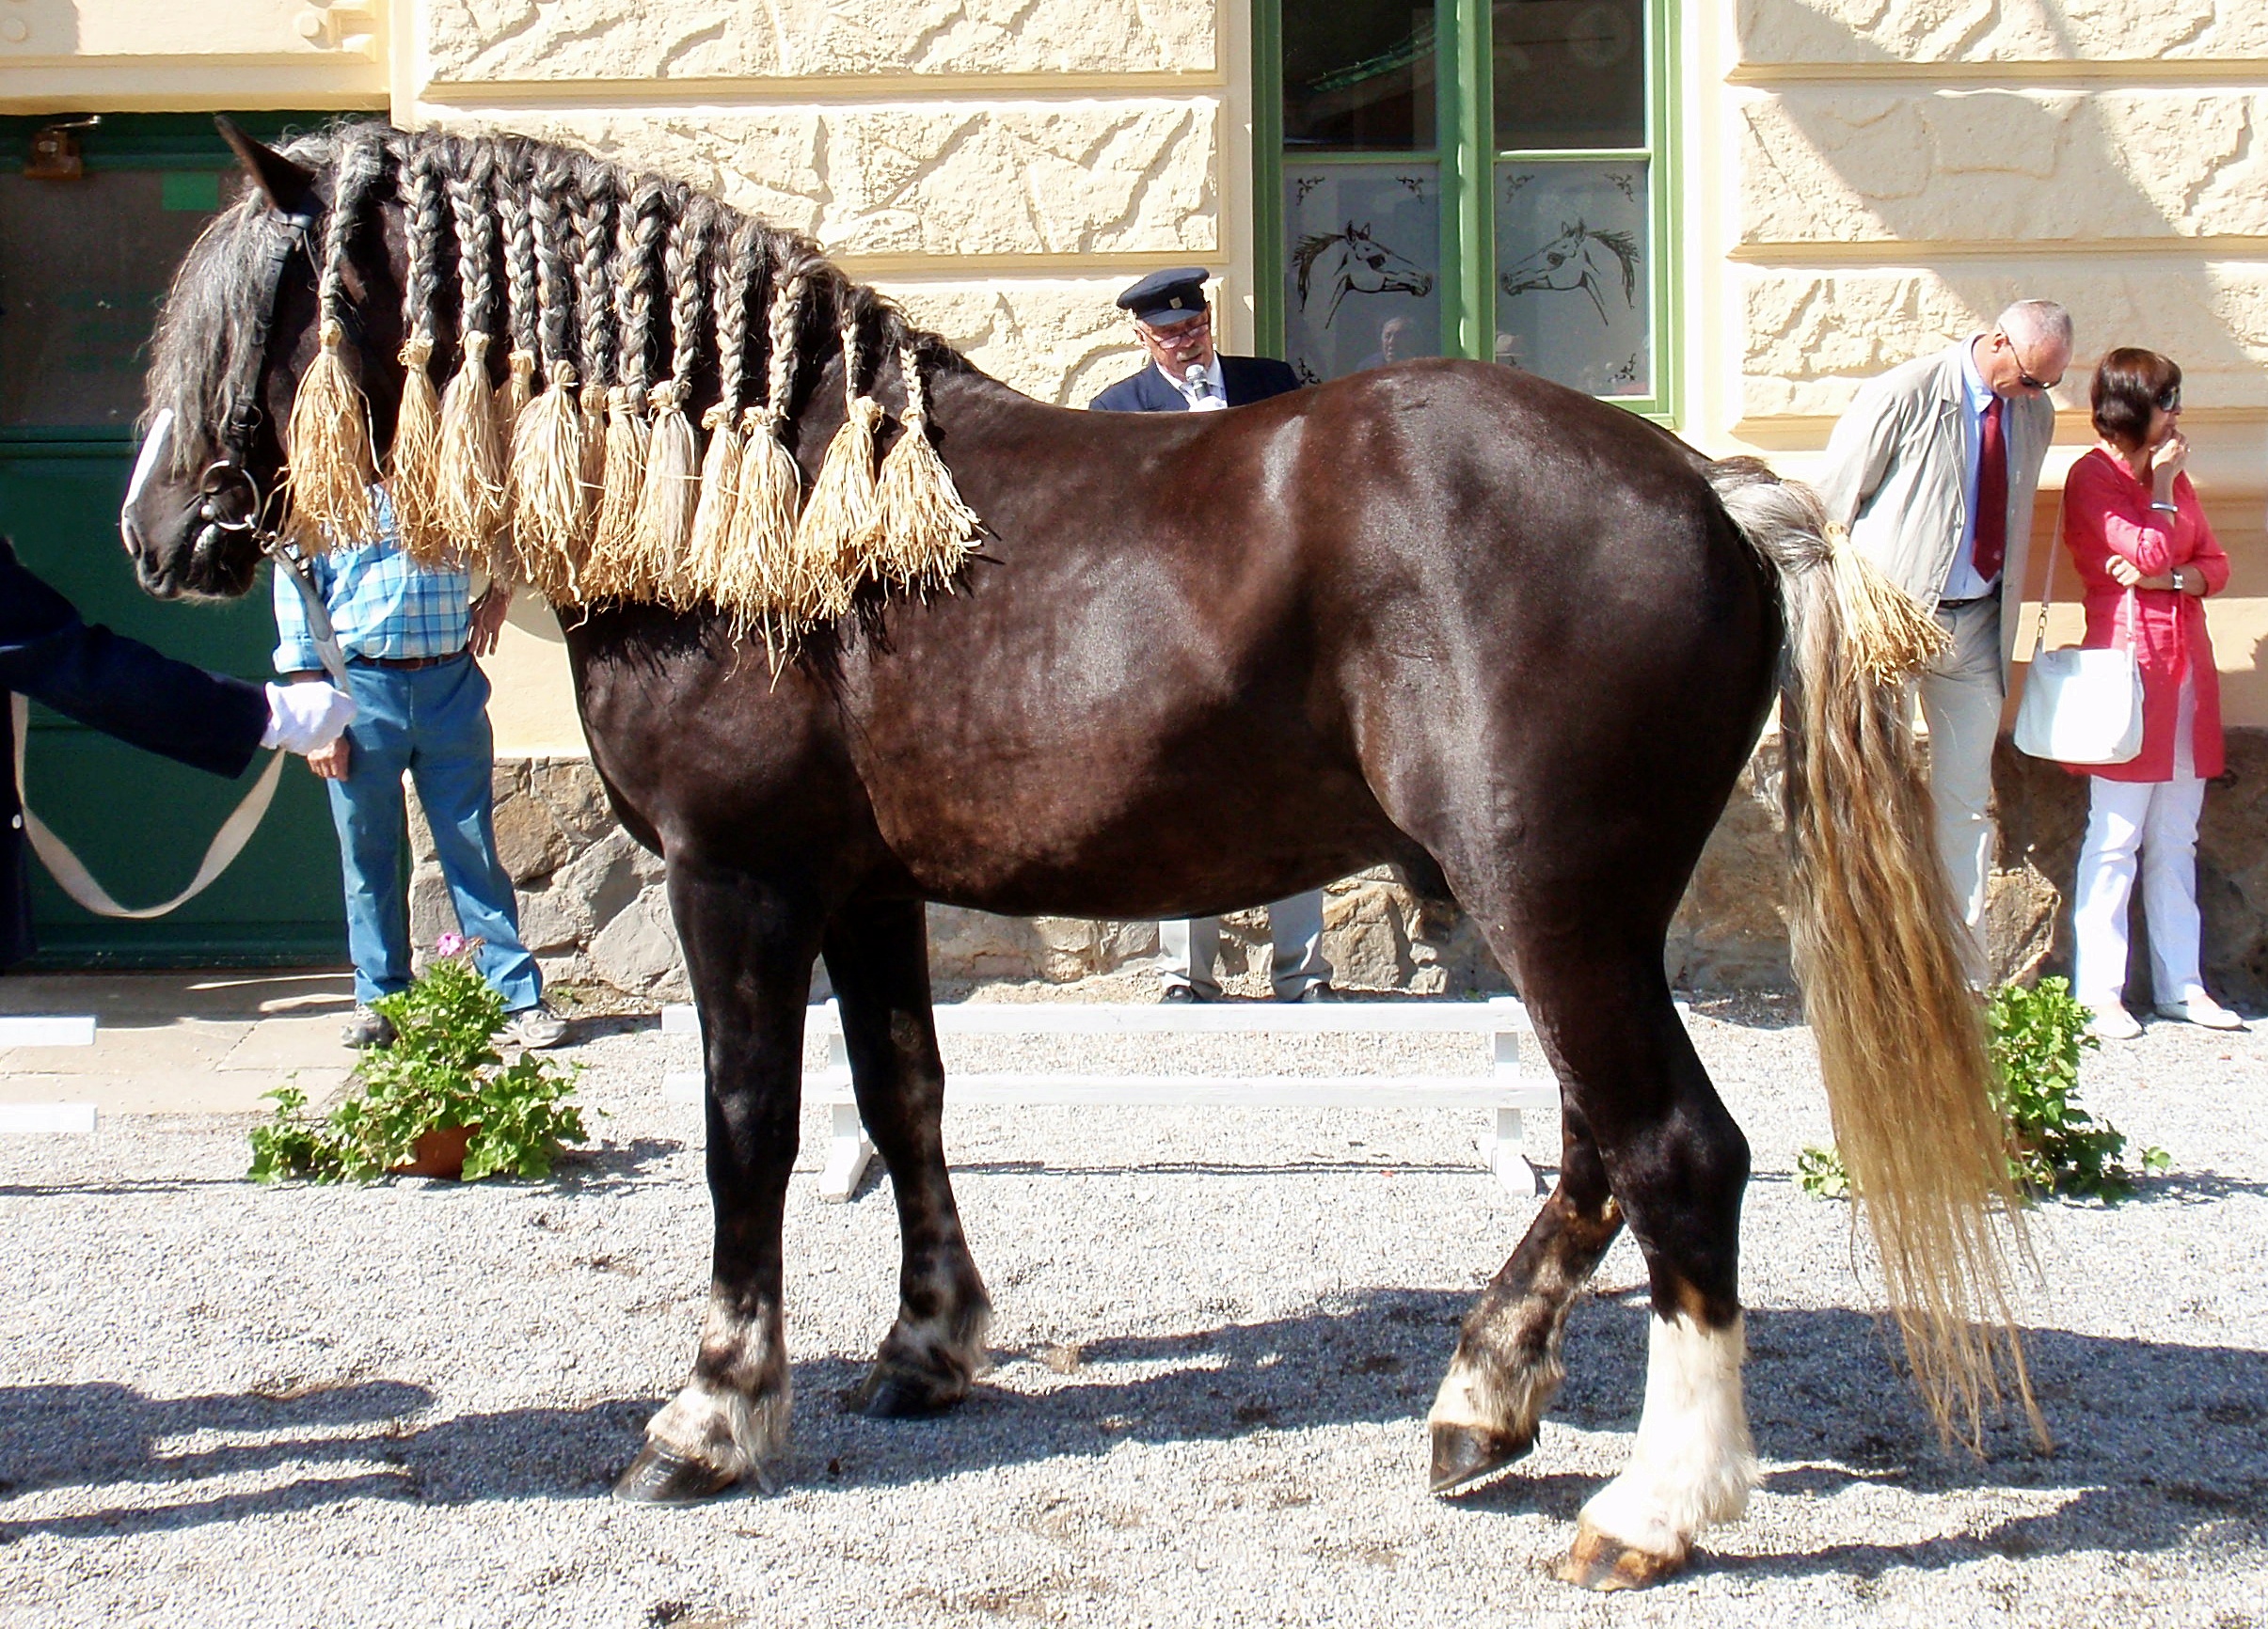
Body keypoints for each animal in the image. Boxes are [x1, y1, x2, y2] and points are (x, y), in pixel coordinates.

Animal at [115, 118, 2032, 1597]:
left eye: (262, 303)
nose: (155, 532)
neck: (761, 503)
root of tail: (1706, 487)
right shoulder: (866, 891)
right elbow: (902, 1099)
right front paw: (925, 1350)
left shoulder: (738, 880)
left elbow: (749, 1132)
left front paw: (713, 1413)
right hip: (1574, 914)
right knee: (1593, 1151)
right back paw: (1479, 1402)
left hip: (1549, 902)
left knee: (1676, 1151)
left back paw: (1652, 1505)